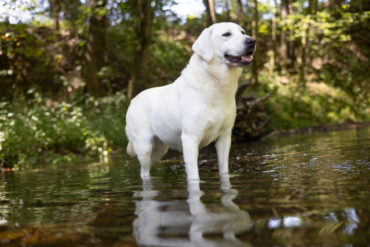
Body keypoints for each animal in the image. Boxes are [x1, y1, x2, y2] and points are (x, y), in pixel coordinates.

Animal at [124, 22, 254, 179]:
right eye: (226, 34)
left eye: (243, 32)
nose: (252, 41)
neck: (216, 84)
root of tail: (132, 101)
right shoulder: (190, 139)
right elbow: (194, 176)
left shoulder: (225, 137)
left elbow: (224, 170)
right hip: (144, 147)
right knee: (143, 172)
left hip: (160, 150)